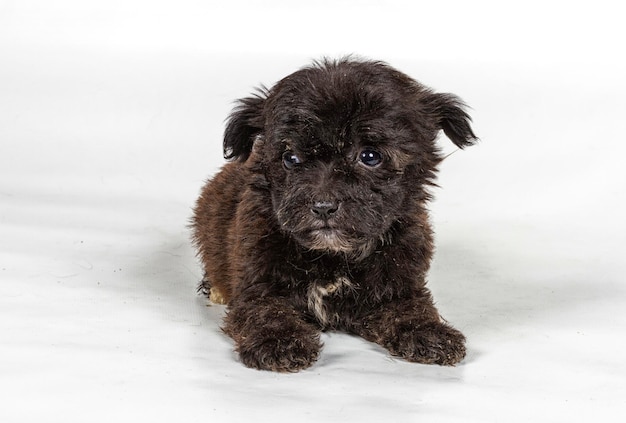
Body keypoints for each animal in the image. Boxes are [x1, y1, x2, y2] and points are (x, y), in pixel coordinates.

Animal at [193, 57, 476, 372]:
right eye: (291, 158)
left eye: (370, 156)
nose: (323, 206)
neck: (333, 256)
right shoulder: (256, 284)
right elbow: (266, 311)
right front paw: (277, 340)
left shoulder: (400, 285)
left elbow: (411, 309)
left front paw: (430, 332)